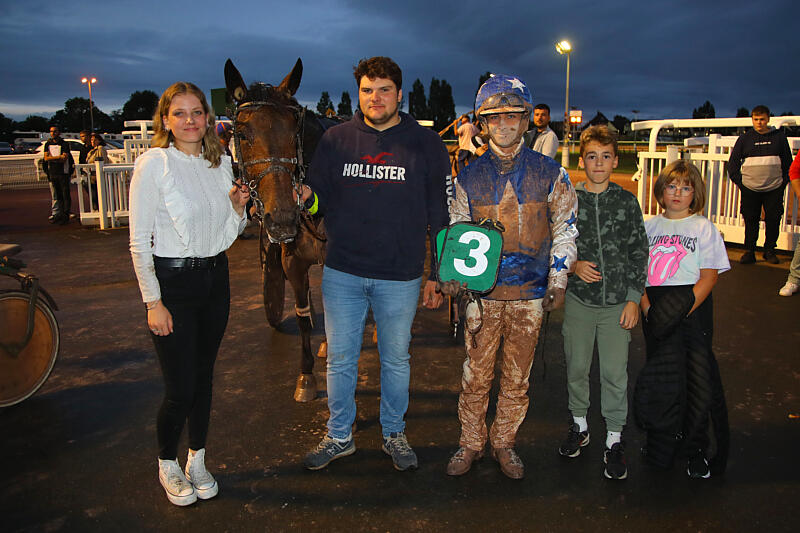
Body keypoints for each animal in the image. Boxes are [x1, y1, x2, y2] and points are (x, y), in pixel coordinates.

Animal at [224, 58, 328, 402]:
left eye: (294, 131)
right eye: (242, 134)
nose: (282, 218)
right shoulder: (291, 261)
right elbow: (303, 315)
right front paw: (306, 375)